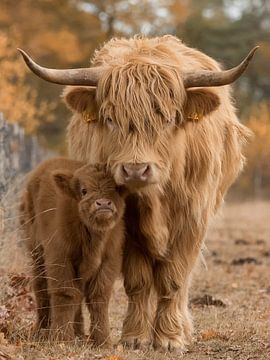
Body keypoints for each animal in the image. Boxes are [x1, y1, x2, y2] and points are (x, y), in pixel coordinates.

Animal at [20, 159, 125, 344]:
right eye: (84, 190)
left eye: (116, 188)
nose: (103, 203)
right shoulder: (60, 258)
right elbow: (65, 294)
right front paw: (61, 338)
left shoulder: (110, 260)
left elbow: (99, 297)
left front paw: (102, 341)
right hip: (37, 253)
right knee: (41, 288)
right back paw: (42, 330)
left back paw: (78, 333)